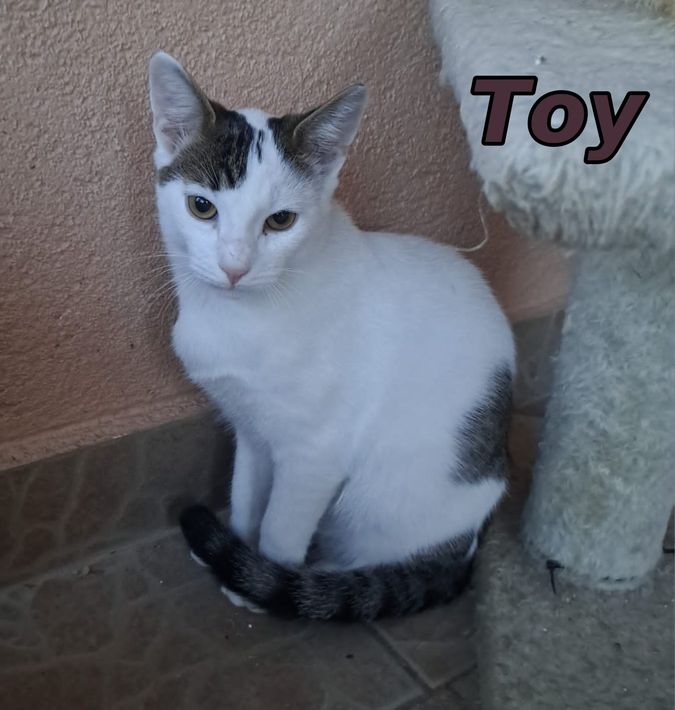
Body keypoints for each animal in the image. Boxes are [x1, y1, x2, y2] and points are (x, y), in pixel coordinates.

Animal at [148, 51, 515, 620]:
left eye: (280, 221)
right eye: (201, 207)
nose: (234, 267)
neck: (239, 316)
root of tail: (469, 543)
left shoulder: (315, 453)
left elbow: (282, 523)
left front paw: (260, 577)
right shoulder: (251, 426)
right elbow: (246, 490)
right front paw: (236, 544)